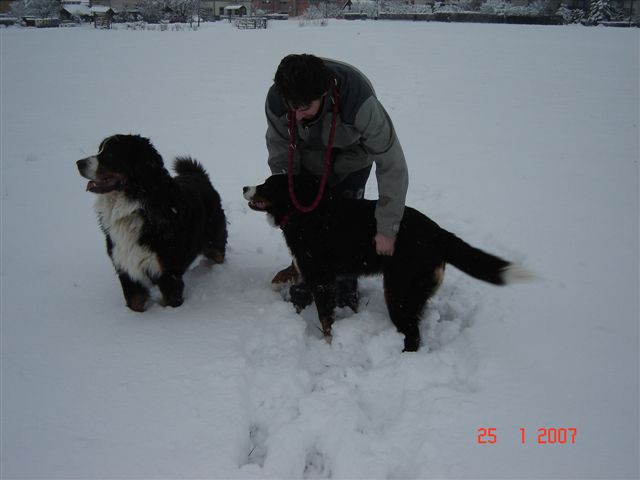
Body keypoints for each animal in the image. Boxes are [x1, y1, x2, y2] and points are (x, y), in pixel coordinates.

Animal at [77, 135, 228, 312]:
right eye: (99, 149)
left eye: (110, 154)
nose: (78, 163)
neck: (136, 208)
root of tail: (198, 175)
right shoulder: (126, 270)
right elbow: (135, 303)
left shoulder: (169, 274)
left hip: (215, 242)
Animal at [242, 174, 532, 350]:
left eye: (266, 185)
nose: (244, 187)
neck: (303, 212)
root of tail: (440, 233)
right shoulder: (309, 267)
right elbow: (285, 273)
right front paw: (274, 285)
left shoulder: (322, 279)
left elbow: (326, 320)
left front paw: (329, 347)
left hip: (398, 294)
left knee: (413, 336)